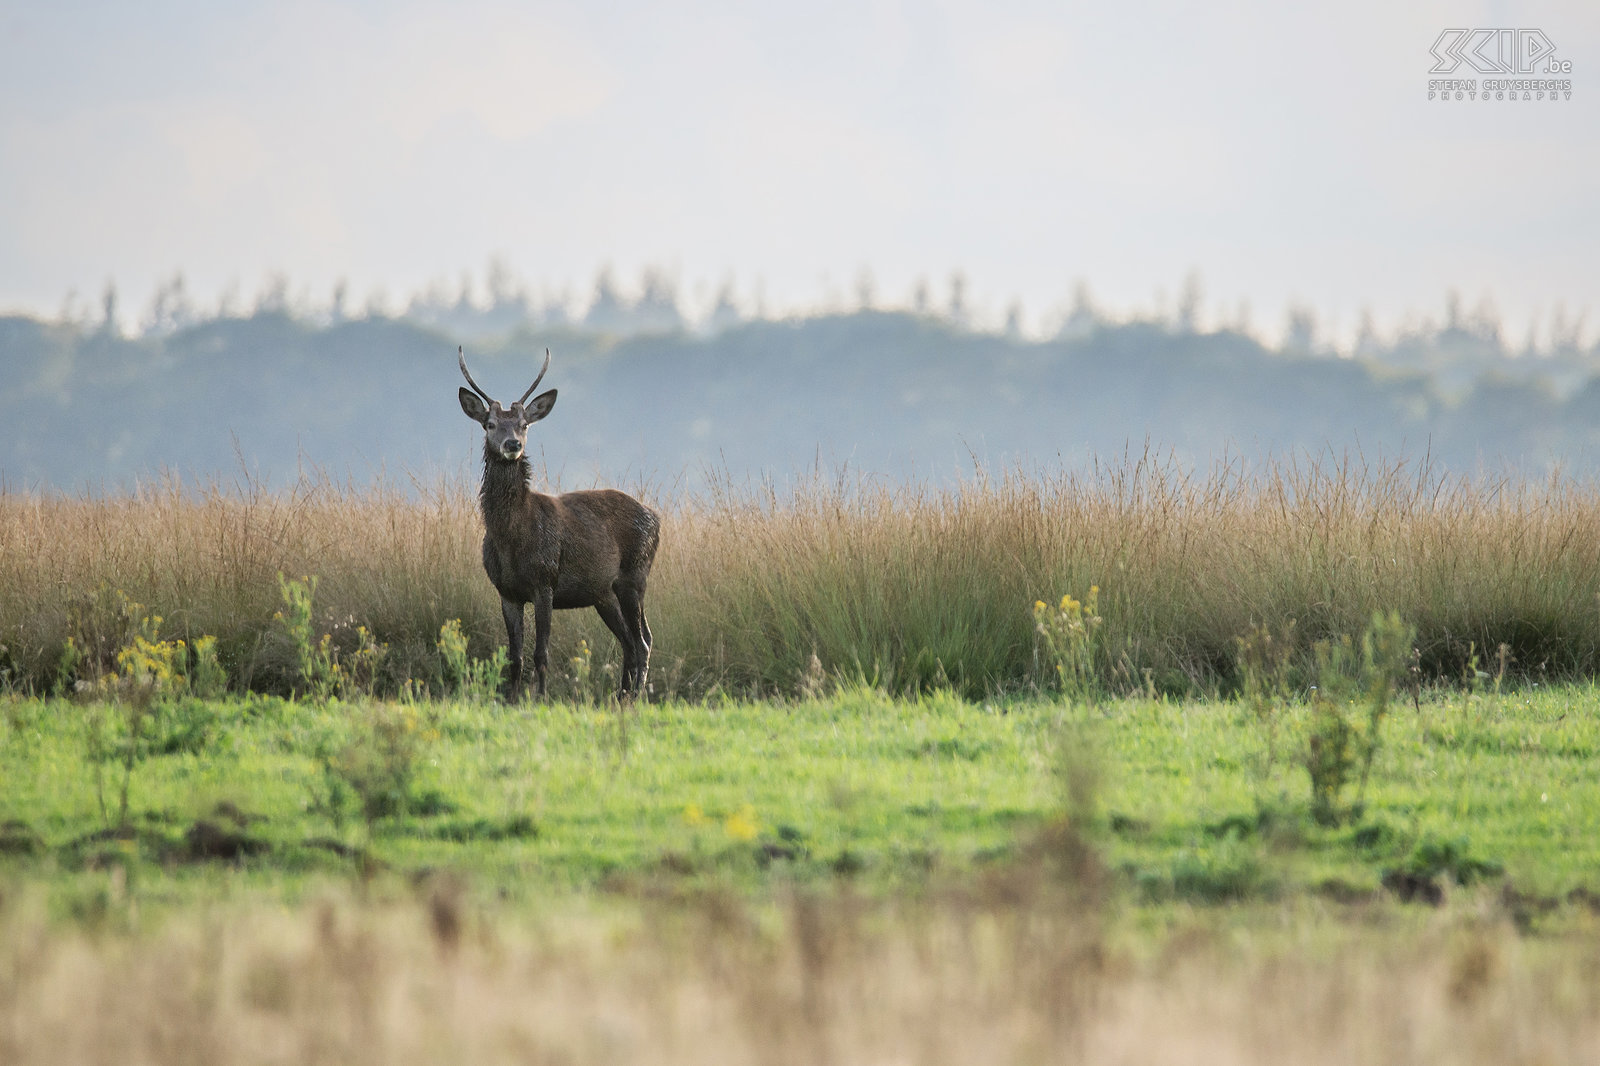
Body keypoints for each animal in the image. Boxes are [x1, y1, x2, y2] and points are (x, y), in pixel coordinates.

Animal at [454, 347, 659, 697]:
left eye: (524, 425)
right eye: (490, 424)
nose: (512, 444)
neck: (511, 539)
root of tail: (656, 518)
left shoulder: (545, 580)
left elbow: (541, 652)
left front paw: (540, 698)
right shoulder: (506, 591)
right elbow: (515, 656)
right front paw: (510, 699)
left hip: (635, 575)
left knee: (643, 640)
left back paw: (637, 697)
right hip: (603, 592)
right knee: (630, 642)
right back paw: (621, 696)